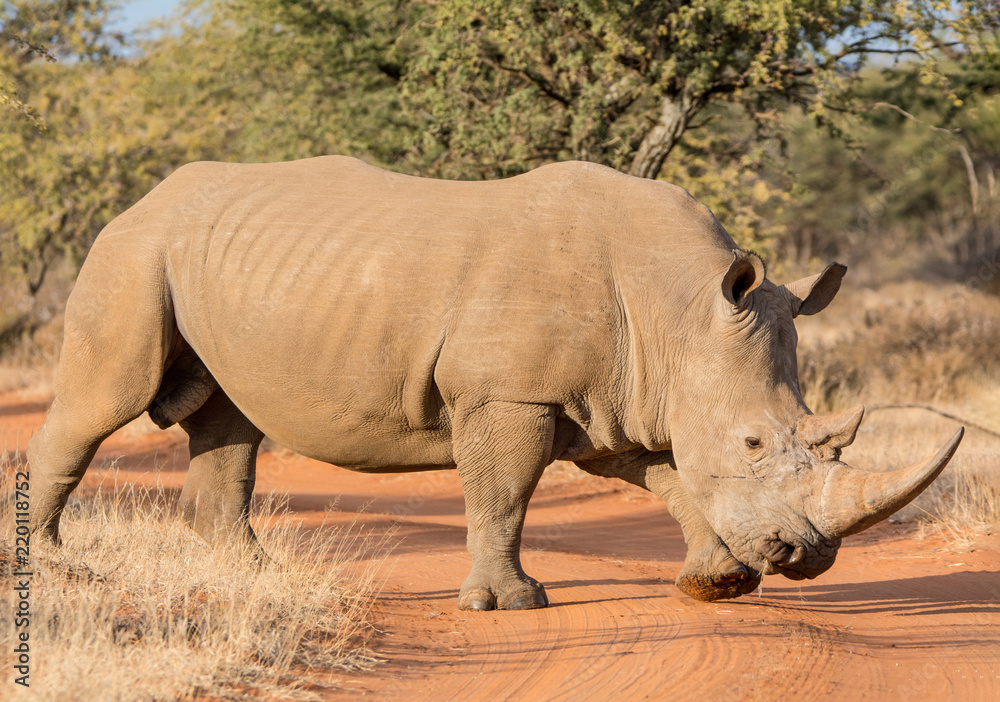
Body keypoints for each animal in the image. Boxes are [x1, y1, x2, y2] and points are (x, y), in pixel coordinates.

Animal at [27, 157, 962, 609]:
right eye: (756, 441)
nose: (804, 560)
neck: (680, 306)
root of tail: (139, 199)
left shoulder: (623, 395)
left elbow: (669, 479)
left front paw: (720, 583)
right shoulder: (513, 393)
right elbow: (503, 495)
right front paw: (509, 604)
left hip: (217, 261)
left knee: (229, 420)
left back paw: (262, 576)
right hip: (131, 254)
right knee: (105, 401)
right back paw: (52, 567)